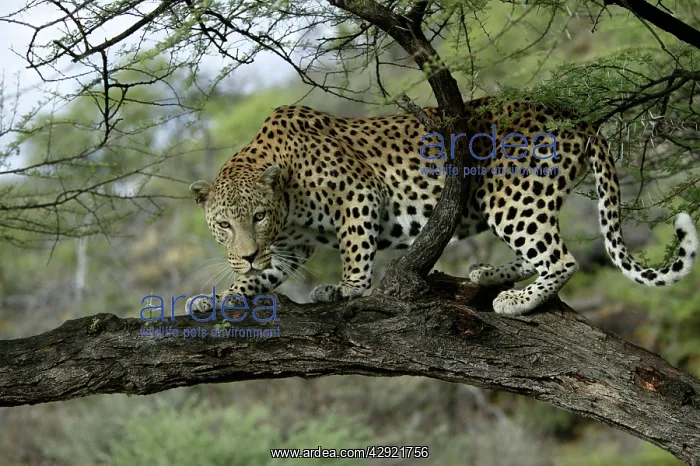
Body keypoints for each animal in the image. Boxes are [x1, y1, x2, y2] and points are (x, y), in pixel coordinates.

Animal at [186, 96, 698, 316]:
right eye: (224, 225)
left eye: (258, 216)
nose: (247, 250)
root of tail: (575, 114)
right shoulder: (289, 249)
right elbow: (255, 278)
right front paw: (218, 297)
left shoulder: (358, 196)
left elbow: (355, 249)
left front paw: (346, 289)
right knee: (539, 252)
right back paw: (489, 275)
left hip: (511, 195)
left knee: (560, 259)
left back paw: (516, 301)